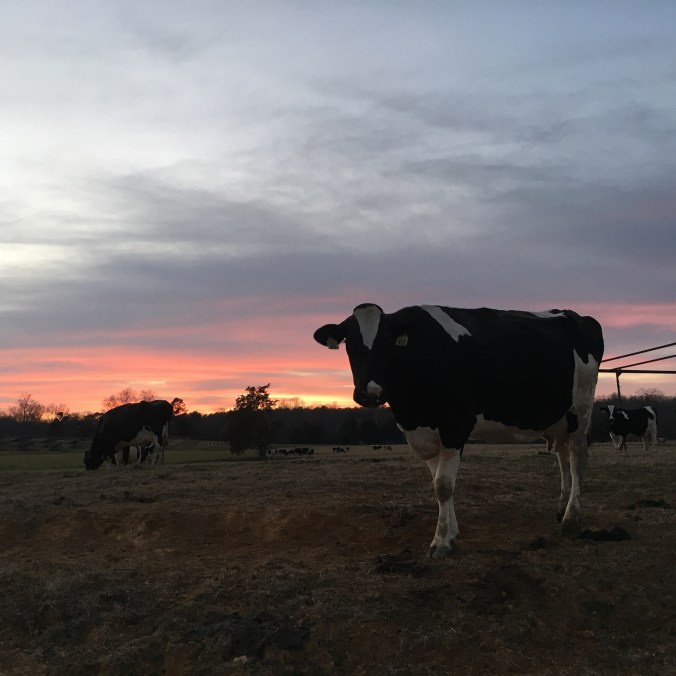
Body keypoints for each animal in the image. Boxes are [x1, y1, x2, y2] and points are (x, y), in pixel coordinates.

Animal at [314, 303, 604, 558]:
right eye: (350, 345)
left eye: (388, 344)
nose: (370, 393)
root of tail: (575, 314)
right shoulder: (424, 435)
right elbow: (438, 485)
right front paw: (451, 534)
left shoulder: (454, 426)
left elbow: (443, 485)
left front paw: (441, 542)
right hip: (559, 419)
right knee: (563, 459)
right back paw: (561, 509)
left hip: (581, 410)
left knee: (578, 461)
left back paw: (571, 520)